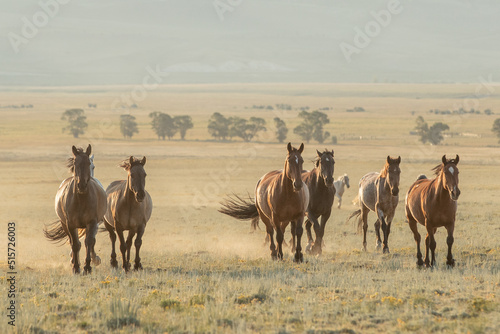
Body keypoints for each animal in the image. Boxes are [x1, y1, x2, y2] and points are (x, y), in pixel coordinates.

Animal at [44, 145, 107, 274]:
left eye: (89, 163)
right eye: (75, 163)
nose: (82, 185)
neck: (81, 199)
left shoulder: (92, 222)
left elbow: (89, 242)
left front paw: (87, 267)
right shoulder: (71, 224)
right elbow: (75, 244)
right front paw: (76, 267)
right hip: (65, 224)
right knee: (72, 241)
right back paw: (73, 260)